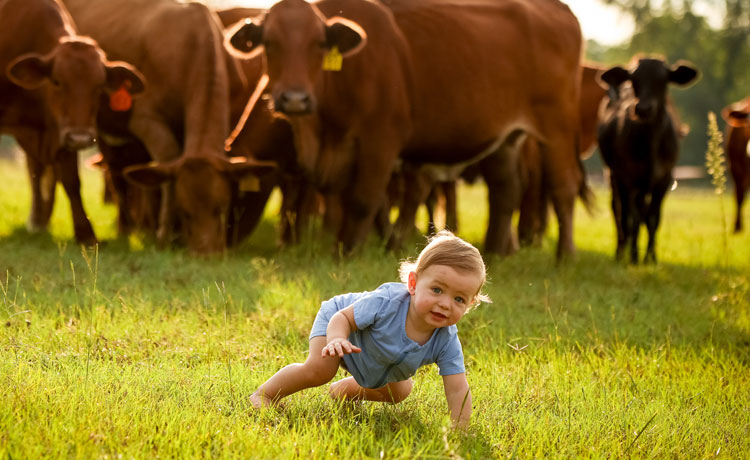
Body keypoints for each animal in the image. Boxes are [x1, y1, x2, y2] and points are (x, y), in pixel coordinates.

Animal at [0, 0, 144, 244]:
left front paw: (85, 233)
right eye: (57, 81)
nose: (81, 138)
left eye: (99, 86)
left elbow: (71, 181)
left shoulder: (62, 130)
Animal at [63, 0, 276, 255]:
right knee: (117, 175)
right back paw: (128, 229)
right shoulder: (146, 120)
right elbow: (167, 162)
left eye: (222, 208)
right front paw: (166, 233)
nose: (207, 254)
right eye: (184, 212)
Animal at [229, 0, 418, 253]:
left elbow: (364, 202)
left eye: (320, 44)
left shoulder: (382, 141)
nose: (295, 100)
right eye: (268, 43)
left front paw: (349, 253)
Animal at [596, 58, 704, 262]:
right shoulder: (625, 177)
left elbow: (653, 218)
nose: (643, 109)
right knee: (618, 211)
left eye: (663, 80)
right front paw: (632, 257)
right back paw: (621, 251)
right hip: (612, 175)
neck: (650, 147)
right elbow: (629, 218)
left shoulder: (664, 179)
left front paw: (650, 258)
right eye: (634, 80)